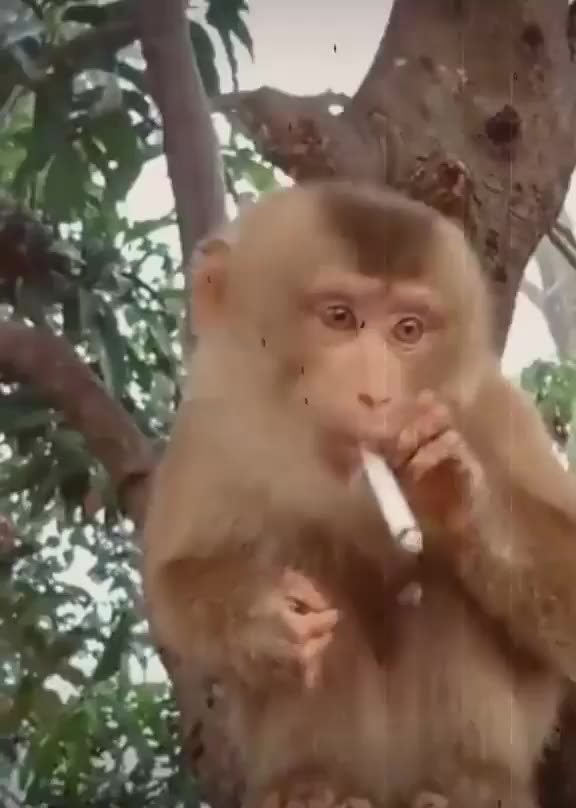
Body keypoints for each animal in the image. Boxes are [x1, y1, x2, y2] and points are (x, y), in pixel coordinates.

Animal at [141, 180, 576, 808]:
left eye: (408, 330)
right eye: (340, 318)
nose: (376, 395)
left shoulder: (495, 411)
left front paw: (453, 484)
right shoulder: (212, 422)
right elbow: (175, 579)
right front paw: (265, 612)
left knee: (442, 579)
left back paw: (467, 781)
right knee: (315, 556)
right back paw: (316, 782)